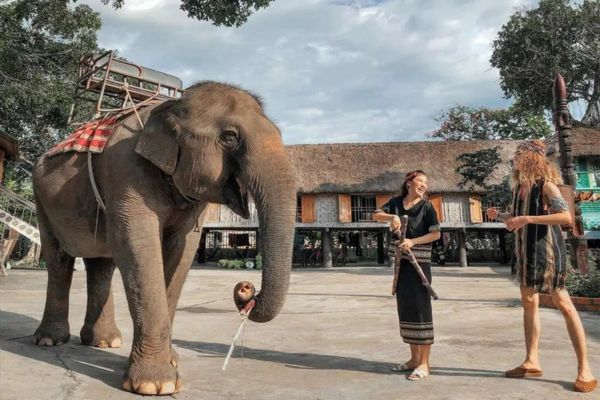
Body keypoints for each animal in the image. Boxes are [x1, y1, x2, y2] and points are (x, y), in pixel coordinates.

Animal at [30, 81, 298, 394]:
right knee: (59, 261)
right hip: (42, 203)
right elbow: (138, 246)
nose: (245, 289)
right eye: (229, 137)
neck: (169, 107)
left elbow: (182, 250)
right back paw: (50, 340)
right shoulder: (124, 170)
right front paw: (156, 385)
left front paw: (172, 362)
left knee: (101, 266)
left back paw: (105, 342)